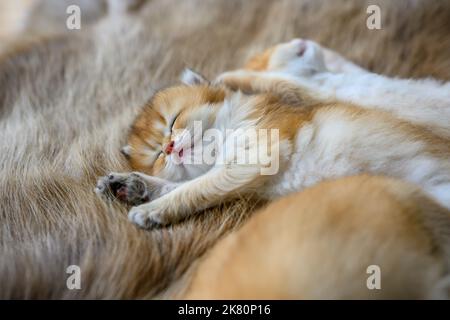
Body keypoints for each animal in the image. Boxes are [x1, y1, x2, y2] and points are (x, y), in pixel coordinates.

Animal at [96, 38, 450, 229]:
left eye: (172, 123)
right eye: (157, 155)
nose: (169, 148)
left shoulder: (257, 157)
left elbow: (192, 190)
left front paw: (151, 210)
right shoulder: (245, 177)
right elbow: (182, 184)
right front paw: (131, 185)